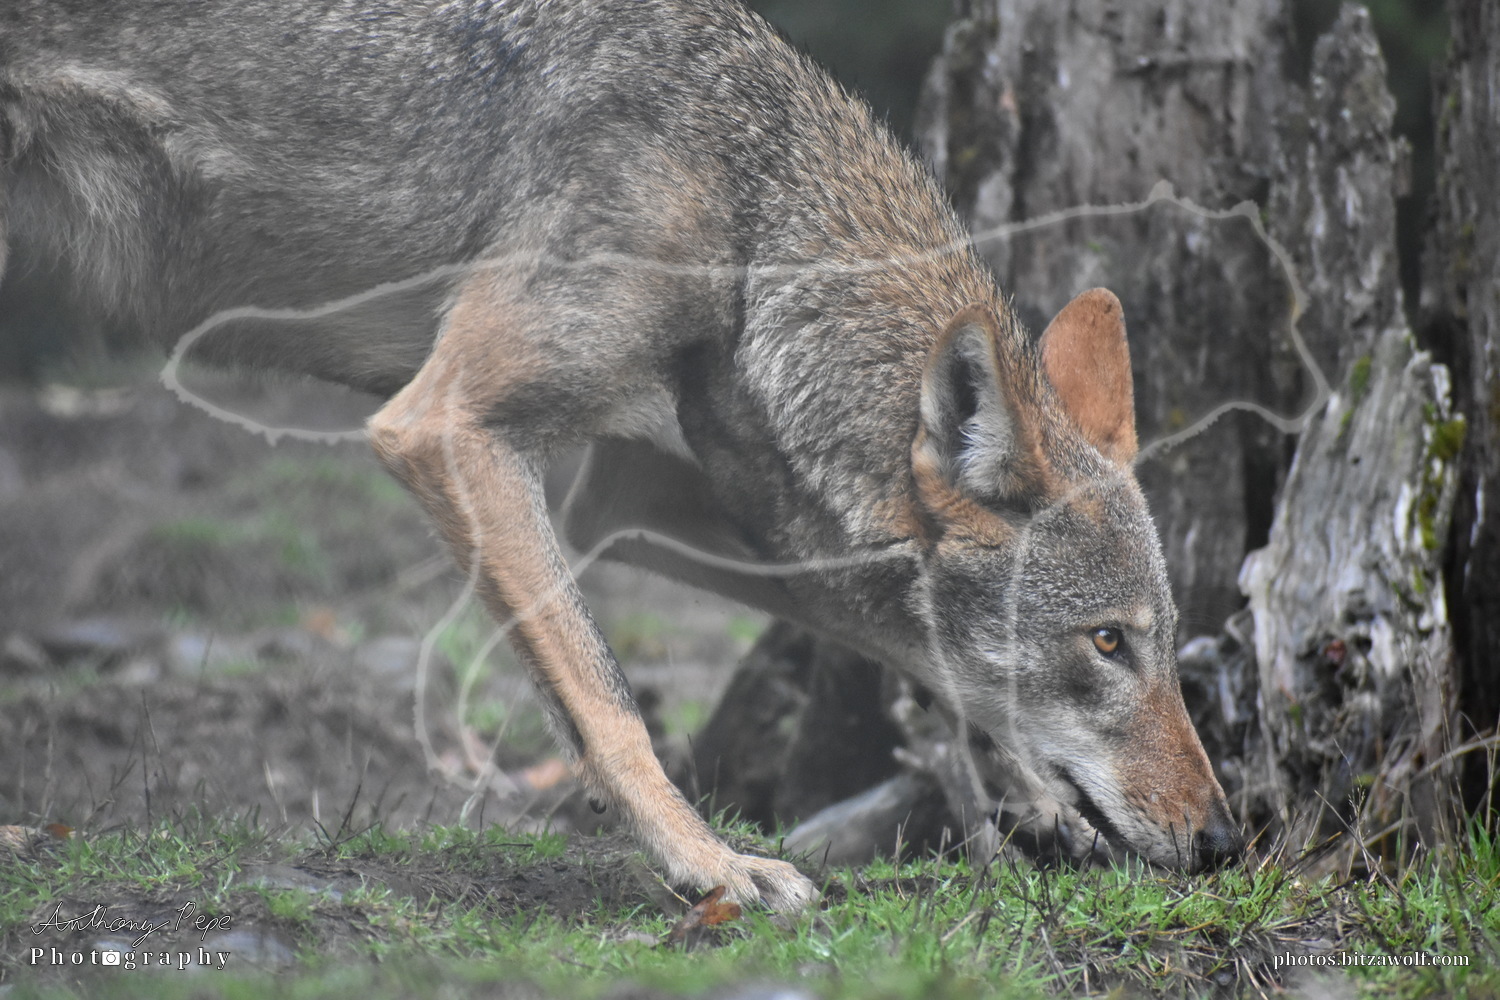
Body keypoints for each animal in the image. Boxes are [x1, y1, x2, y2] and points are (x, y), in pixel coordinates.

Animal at [0, 0, 1242, 909]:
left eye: (1160, 642)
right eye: (1109, 641)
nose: (1228, 839)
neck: (746, 198)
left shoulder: (652, 498)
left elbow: (905, 641)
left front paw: (1028, 791)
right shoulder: (447, 424)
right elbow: (609, 695)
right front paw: (712, 863)